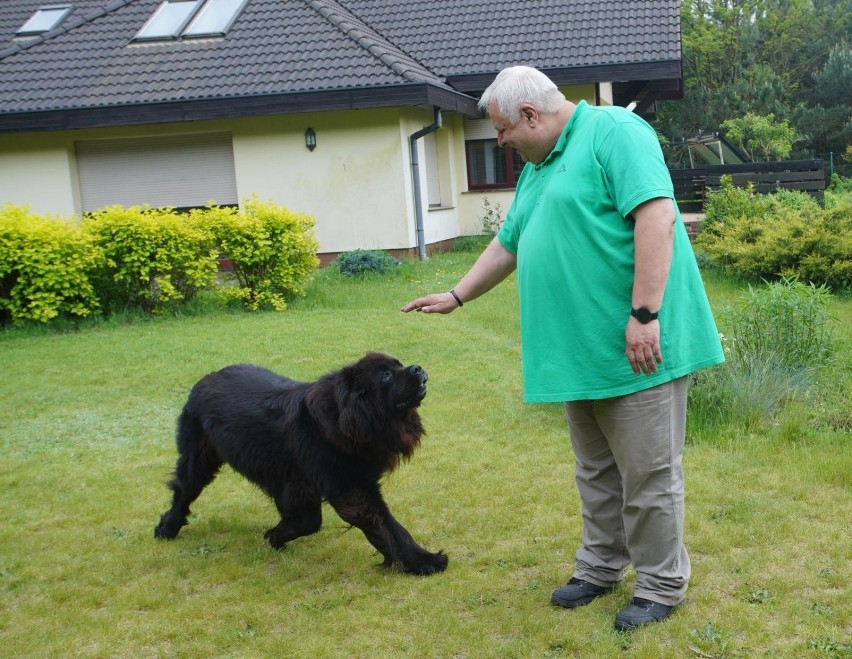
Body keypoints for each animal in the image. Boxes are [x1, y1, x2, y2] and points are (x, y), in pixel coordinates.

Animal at [154, 354, 450, 576]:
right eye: (386, 375)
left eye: (399, 364)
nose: (417, 367)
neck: (345, 419)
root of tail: (206, 378)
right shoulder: (349, 487)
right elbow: (389, 527)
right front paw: (424, 561)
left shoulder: (296, 481)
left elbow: (308, 520)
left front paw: (277, 534)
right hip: (199, 457)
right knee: (184, 489)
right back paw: (167, 528)